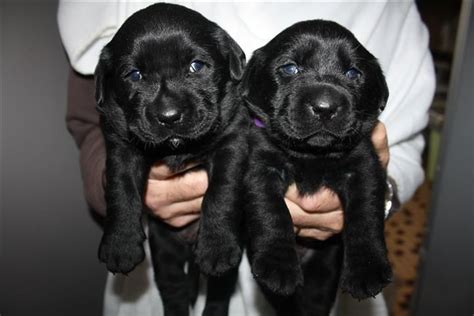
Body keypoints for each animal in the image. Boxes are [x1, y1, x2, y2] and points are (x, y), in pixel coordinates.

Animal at [93, 3, 248, 316]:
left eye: (196, 66)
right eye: (134, 75)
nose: (169, 116)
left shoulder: (232, 142)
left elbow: (222, 192)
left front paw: (217, 245)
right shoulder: (121, 148)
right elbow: (120, 189)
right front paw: (120, 244)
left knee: (219, 292)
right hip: (165, 253)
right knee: (174, 291)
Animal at [241, 20, 392, 316]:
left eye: (353, 73)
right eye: (289, 68)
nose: (325, 107)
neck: (312, 155)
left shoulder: (365, 168)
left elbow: (366, 215)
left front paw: (367, 269)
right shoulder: (259, 166)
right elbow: (270, 211)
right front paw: (278, 264)